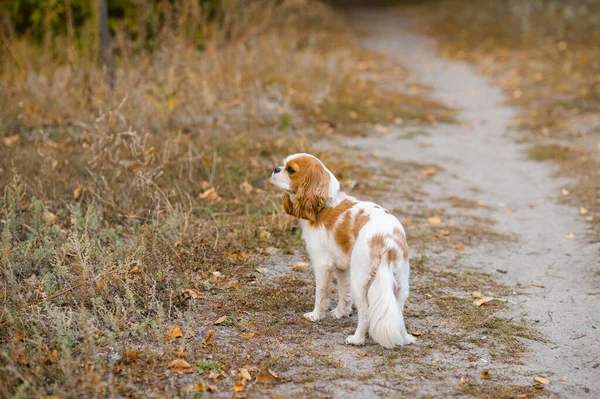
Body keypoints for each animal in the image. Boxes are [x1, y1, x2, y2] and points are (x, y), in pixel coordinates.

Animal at [270, 155, 414, 348]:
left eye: (291, 170)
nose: (276, 169)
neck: (324, 204)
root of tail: (388, 240)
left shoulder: (322, 265)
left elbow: (321, 294)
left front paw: (316, 316)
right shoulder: (341, 266)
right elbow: (343, 292)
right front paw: (341, 312)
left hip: (360, 281)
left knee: (365, 314)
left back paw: (357, 339)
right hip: (401, 284)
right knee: (398, 313)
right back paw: (405, 338)